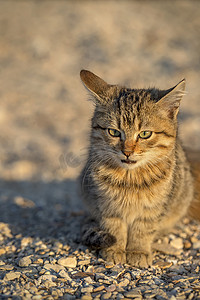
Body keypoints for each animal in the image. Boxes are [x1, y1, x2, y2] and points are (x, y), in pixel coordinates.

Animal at [79, 69, 199, 268]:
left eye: (144, 134)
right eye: (114, 132)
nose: (127, 152)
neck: (130, 178)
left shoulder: (153, 208)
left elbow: (143, 229)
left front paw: (138, 251)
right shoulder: (107, 205)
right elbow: (114, 227)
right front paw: (115, 249)